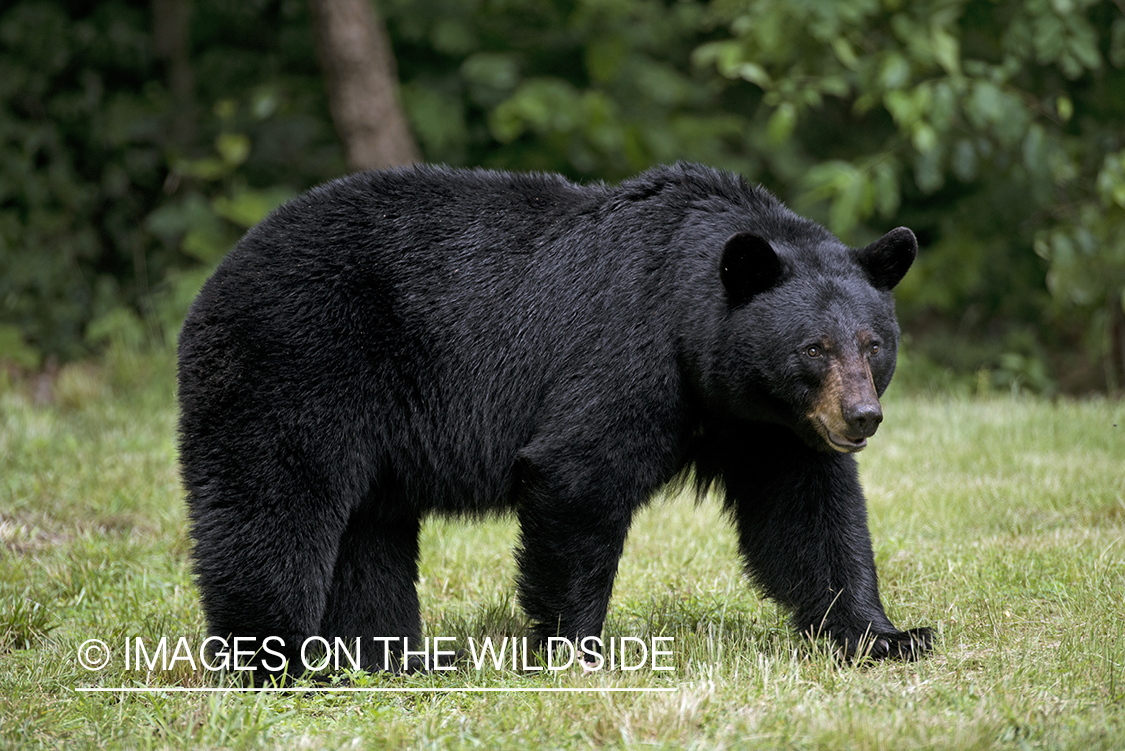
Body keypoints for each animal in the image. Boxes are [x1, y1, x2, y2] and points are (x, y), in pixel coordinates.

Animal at [175, 161, 931, 679]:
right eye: (813, 347)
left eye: (872, 343)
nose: (860, 416)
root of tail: (220, 274)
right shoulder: (624, 353)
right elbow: (578, 474)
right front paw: (575, 647)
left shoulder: (764, 425)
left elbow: (807, 513)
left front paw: (887, 635)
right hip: (296, 362)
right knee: (276, 505)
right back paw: (275, 663)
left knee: (368, 532)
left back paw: (399, 659)